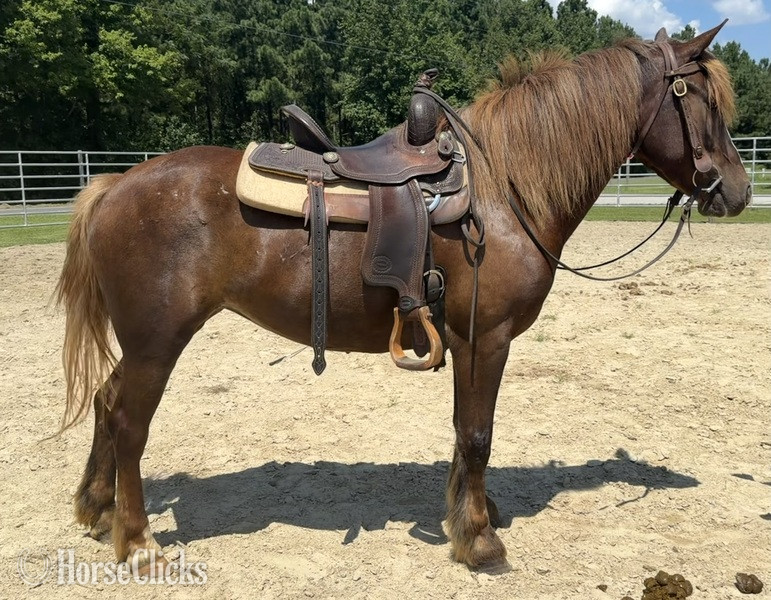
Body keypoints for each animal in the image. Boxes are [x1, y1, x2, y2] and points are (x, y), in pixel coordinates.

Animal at [55, 23, 751, 573]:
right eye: (704, 103)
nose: (738, 191)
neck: (505, 190)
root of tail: (114, 184)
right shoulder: (487, 337)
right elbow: (478, 433)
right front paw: (480, 540)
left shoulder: (465, 339)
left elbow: (463, 430)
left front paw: (467, 513)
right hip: (158, 341)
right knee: (129, 422)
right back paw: (138, 542)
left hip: (143, 344)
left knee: (105, 402)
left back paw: (96, 509)